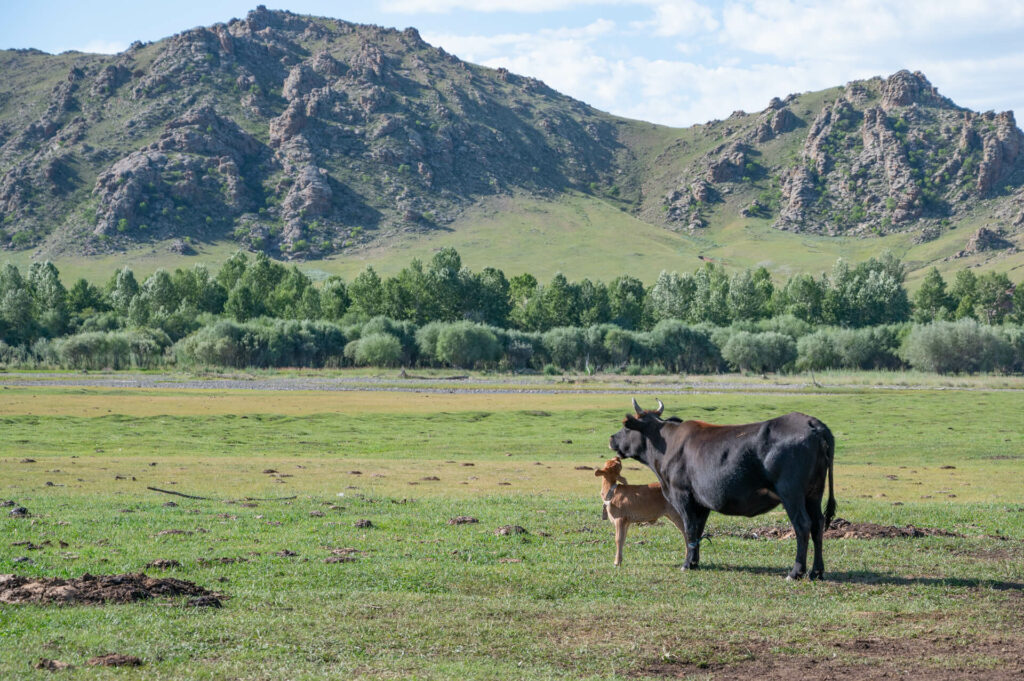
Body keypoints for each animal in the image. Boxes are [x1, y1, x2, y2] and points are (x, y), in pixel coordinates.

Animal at [606, 399, 831, 577]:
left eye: (626, 427)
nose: (611, 439)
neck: (667, 444)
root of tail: (812, 424)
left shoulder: (683, 496)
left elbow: (689, 529)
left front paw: (687, 564)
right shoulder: (702, 502)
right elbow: (698, 530)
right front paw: (694, 562)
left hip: (791, 494)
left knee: (802, 525)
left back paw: (795, 572)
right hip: (814, 494)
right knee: (818, 525)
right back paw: (817, 571)